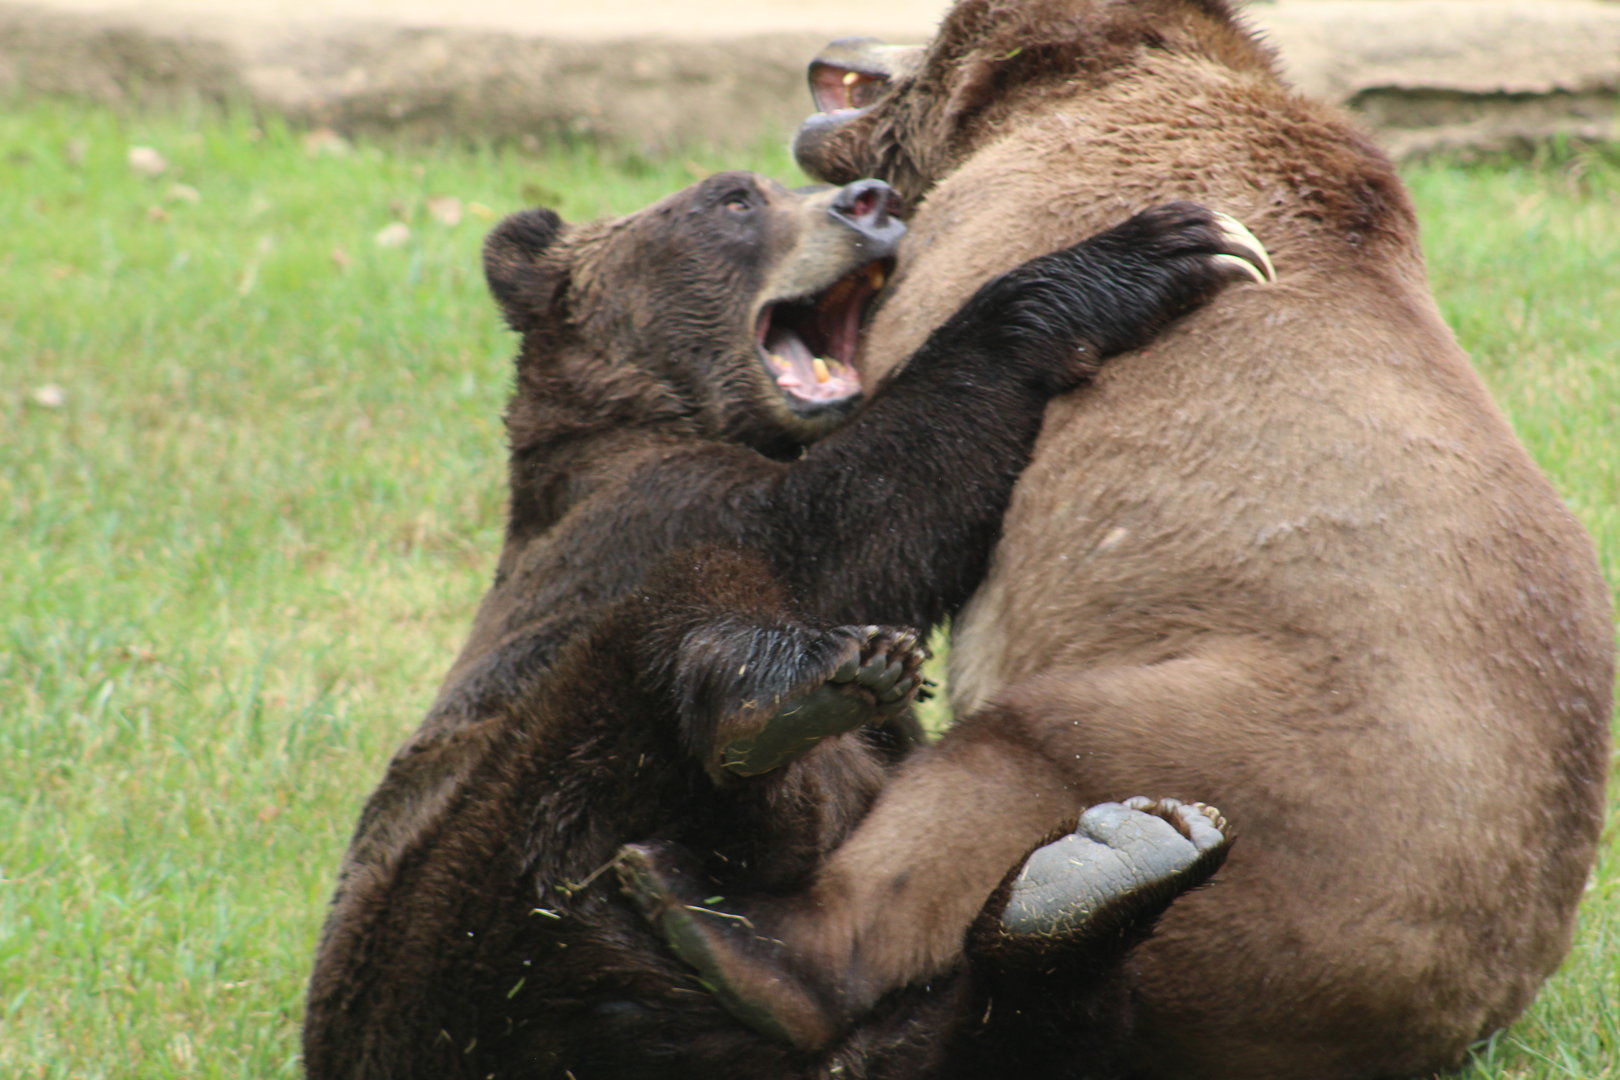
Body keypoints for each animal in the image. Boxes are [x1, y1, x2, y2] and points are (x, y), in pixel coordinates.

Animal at [300, 170, 1271, 1079]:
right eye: (733, 199)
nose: (868, 200)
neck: (668, 415)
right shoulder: (660, 511)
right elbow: (854, 517)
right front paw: (1162, 246)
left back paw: (1091, 887)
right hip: (467, 914)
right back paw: (780, 700)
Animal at [617, 3, 1617, 1079]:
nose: (833, 48)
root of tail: (1451, 1008)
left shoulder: (981, 231)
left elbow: (908, 468)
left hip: (1276, 766)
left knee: (1017, 762)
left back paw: (728, 922)